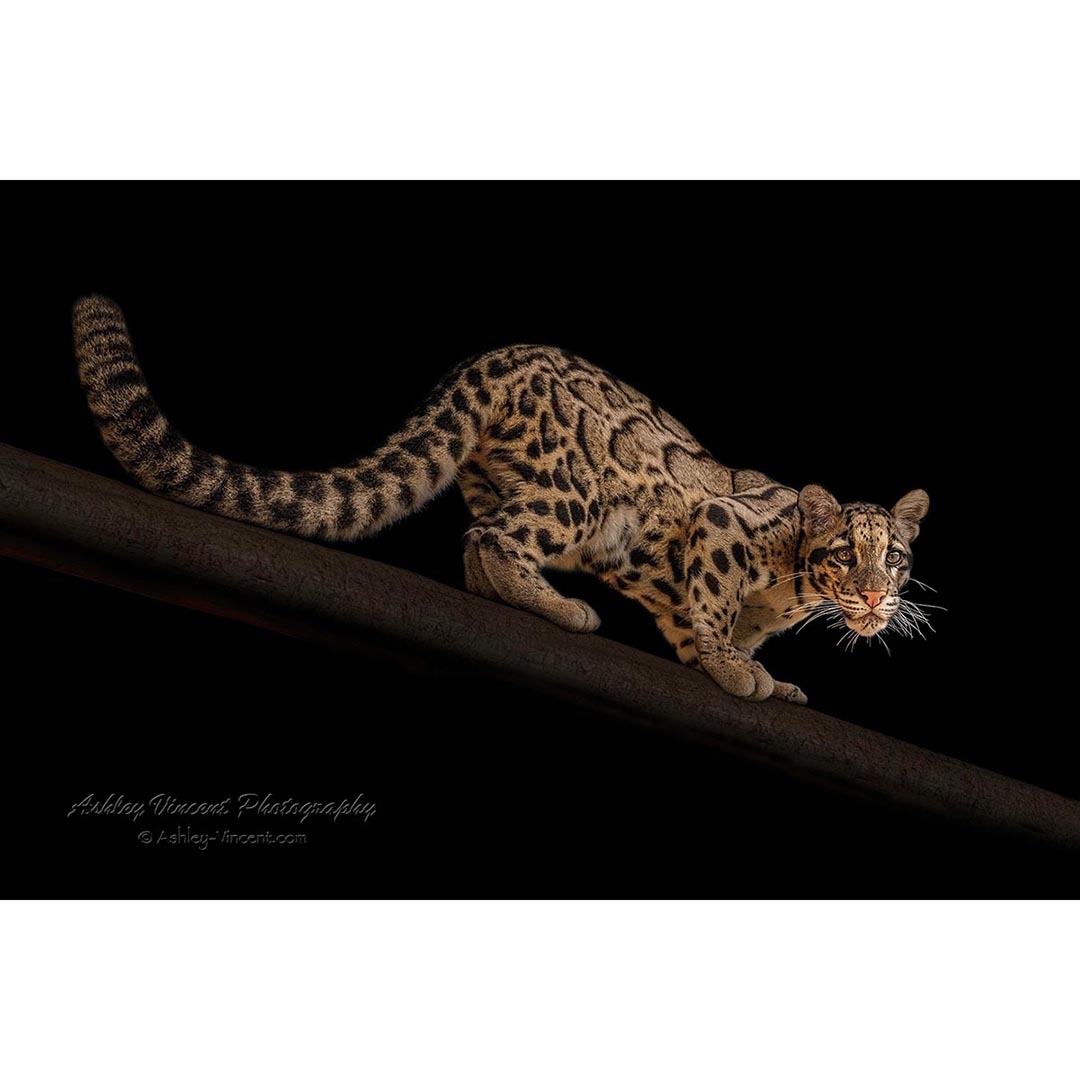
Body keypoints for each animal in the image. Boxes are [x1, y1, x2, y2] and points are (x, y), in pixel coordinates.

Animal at [73, 295, 929, 705]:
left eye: (896, 558)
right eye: (846, 554)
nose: (874, 594)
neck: (790, 599)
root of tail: (492, 360)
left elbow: (701, 627)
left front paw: (761, 675)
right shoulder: (720, 530)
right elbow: (711, 611)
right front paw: (733, 667)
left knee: (481, 539)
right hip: (574, 498)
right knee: (490, 538)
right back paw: (561, 608)